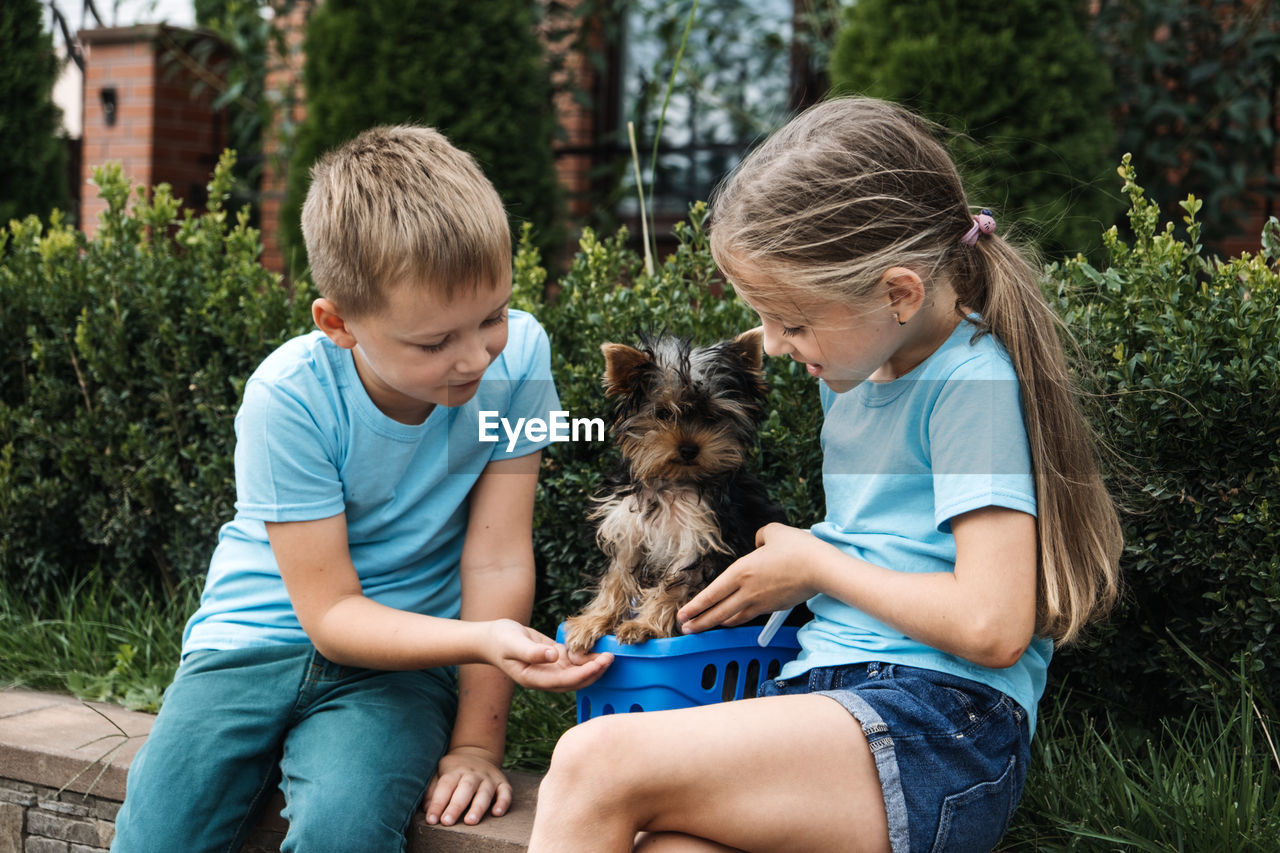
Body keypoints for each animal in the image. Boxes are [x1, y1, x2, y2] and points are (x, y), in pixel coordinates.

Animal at [563, 327, 783, 653]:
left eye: (713, 416)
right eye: (664, 414)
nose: (689, 449)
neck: (673, 482)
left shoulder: (703, 539)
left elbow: (677, 585)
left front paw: (644, 625)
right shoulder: (629, 532)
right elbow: (616, 576)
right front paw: (593, 621)